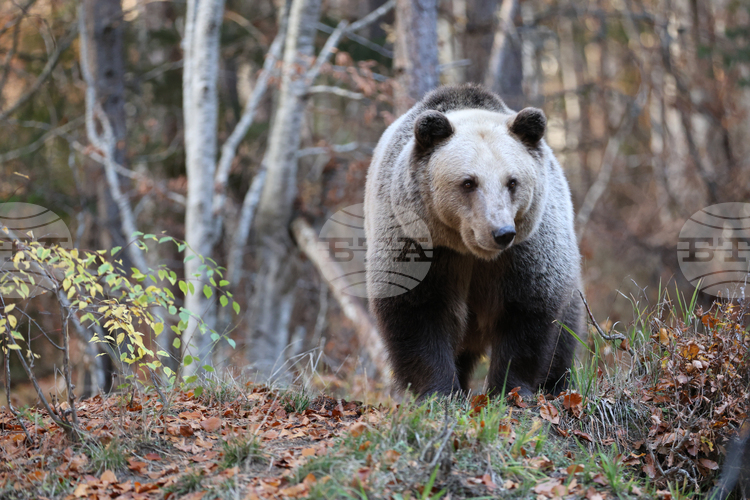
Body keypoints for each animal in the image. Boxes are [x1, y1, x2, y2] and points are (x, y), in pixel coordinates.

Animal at [364, 83, 585, 398]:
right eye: (468, 182)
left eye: (512, 181)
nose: (501, 232)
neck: (470, 251)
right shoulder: (418, 242)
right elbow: (417, 313)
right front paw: (440, 392)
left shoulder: (526, 250)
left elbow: (528, 313)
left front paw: (509, 390)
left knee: (565, 334)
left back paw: (556, 385)